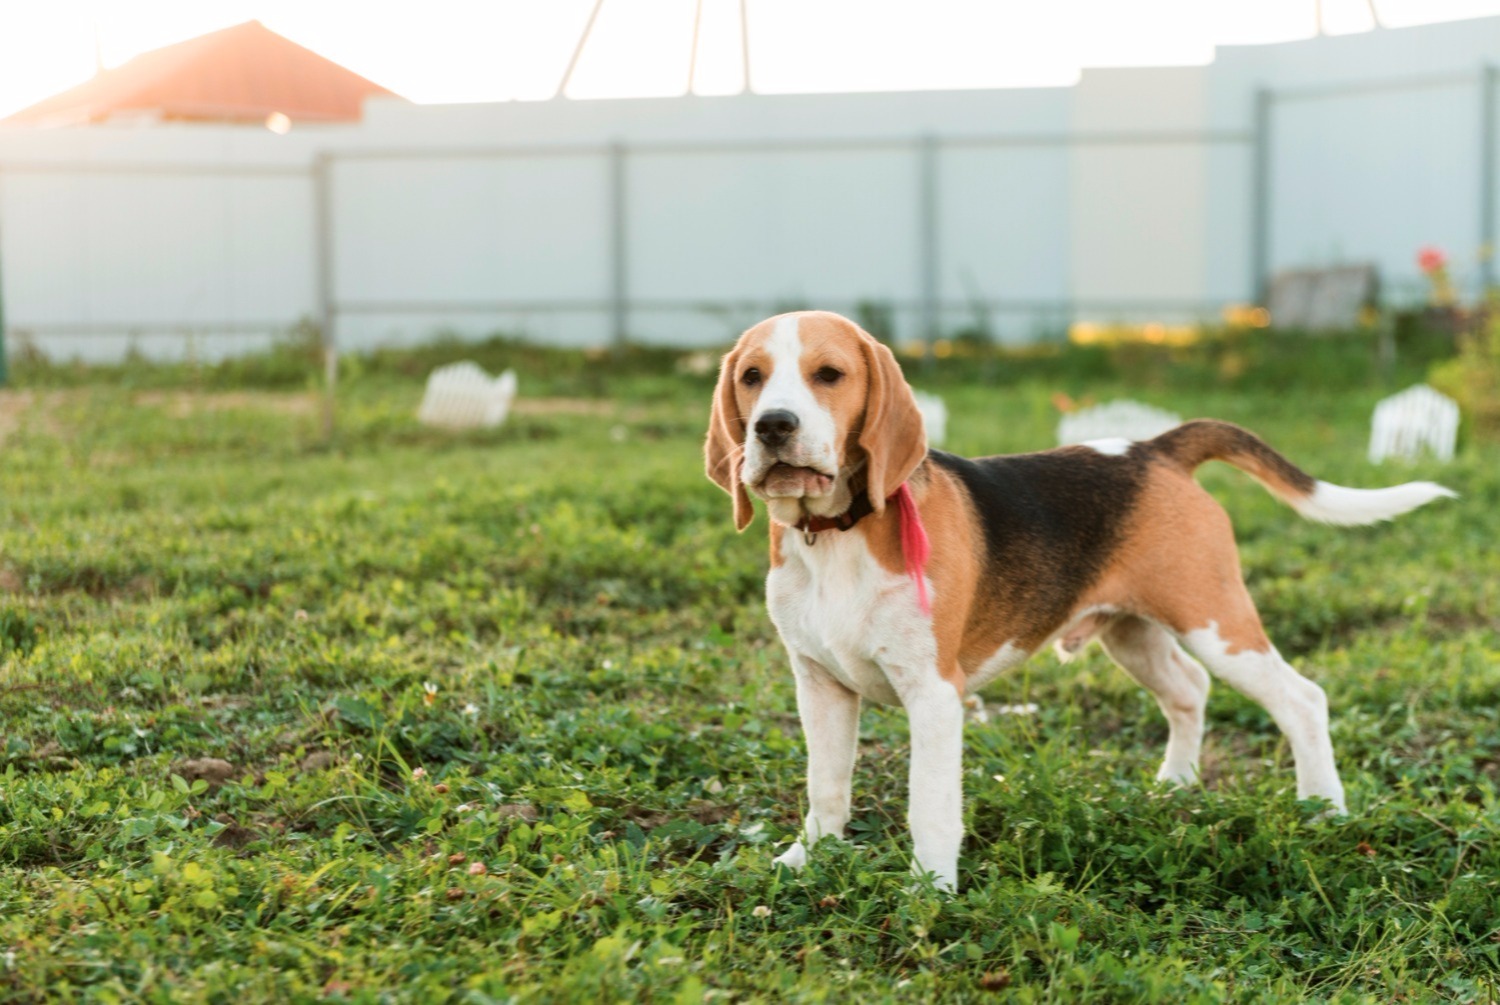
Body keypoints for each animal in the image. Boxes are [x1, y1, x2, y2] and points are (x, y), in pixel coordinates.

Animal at [708, 310, 1458, 894]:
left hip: (1215, 620)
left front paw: (932, 889)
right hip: (1132, 631)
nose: (773, 427)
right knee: (1190, 688)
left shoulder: (934, 694)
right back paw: (1174, 783)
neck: (834, 535)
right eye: (752, 377)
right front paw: (809, 858)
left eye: (829, 375)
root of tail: (1157, 448)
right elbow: (825, 784)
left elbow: (931, 805)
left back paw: (1323, 808)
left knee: (1302, 698)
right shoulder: (819, 684)